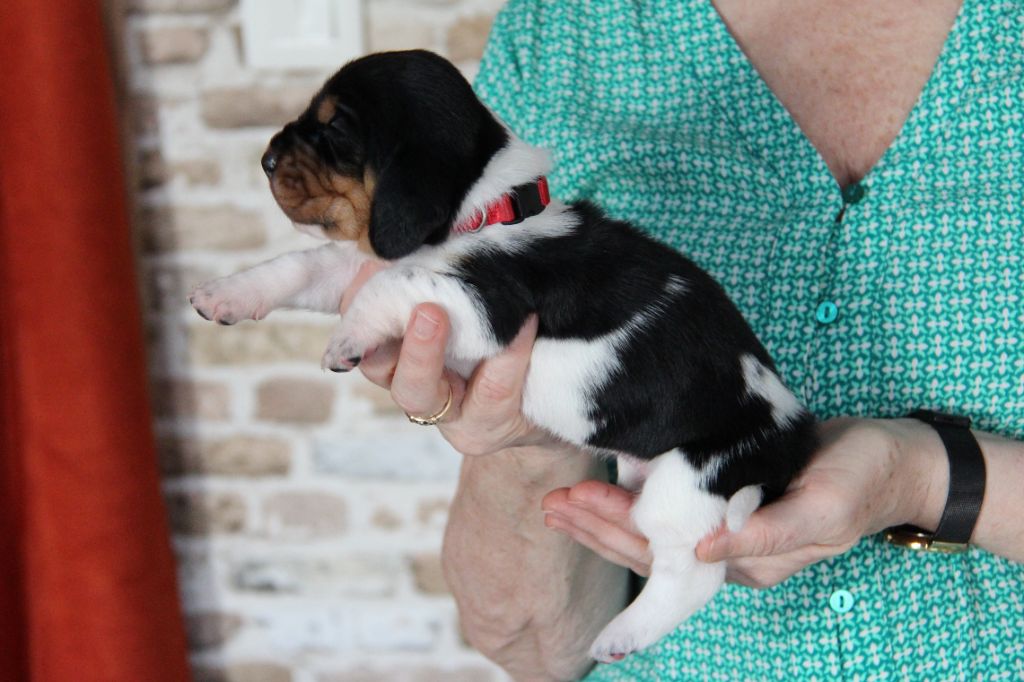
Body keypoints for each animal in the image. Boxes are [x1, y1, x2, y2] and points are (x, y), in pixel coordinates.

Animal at [190, 50, 815, 659]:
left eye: (336, 129)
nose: (266, 158)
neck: (482, 211)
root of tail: (793, 441)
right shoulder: (360, 264)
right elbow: (299, 266)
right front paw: (223, 294)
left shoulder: (483, 304)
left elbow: (389, 285)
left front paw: (347, 338)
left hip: (690, 484)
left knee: (692, 575)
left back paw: (622, 635)